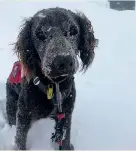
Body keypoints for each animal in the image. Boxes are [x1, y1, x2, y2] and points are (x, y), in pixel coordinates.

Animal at [5, 7, 97, 150]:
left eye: (73, 31)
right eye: (40, 34)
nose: (63, 61)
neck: (54, 87)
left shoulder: (66, 112)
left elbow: (65, 137)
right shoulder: (23, 114)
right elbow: (20, 140)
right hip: (11, 102)